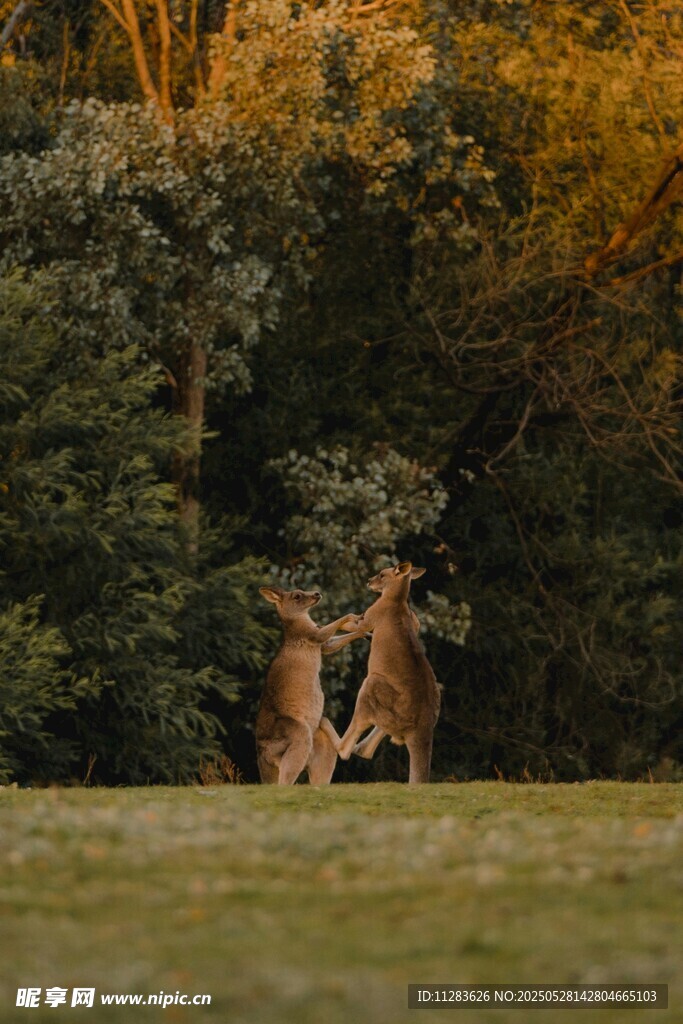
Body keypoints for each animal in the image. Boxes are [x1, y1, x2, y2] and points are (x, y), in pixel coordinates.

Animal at [256, 586, 369, 785]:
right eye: (297, 596)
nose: (317, 593)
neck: (299, 619)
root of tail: (262, 754)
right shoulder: (310, 634)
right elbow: (324, 632)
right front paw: (355, 617)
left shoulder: (321, 643)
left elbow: (329, 644)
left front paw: (364, 631)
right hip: (297, 734)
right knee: (286, 779)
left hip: (320, 747)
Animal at [334, 561, 440, 783]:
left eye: (382, 575)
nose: (368, 581)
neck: (397, 601)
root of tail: (423, 727)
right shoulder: (414, 620)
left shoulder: (375, 613)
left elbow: (355, 622)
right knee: (367, 747)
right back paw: (359, 747)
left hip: (373, 685)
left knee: (343, 749)